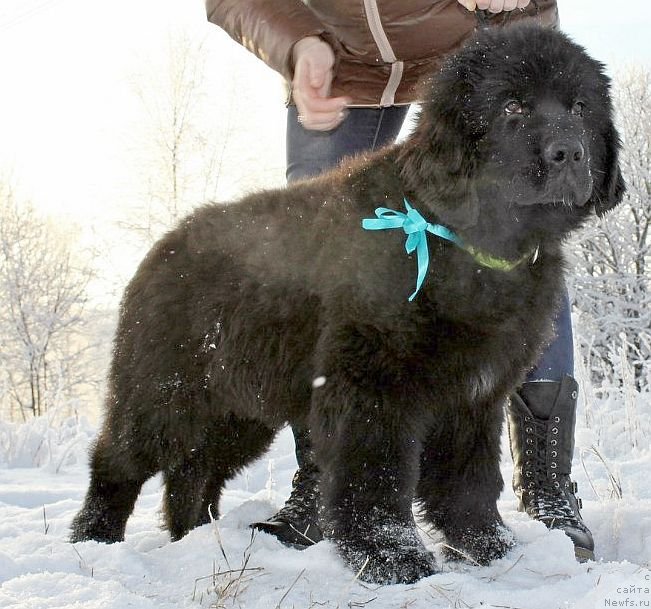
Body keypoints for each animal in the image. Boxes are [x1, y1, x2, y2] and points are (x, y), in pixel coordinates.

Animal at [71, 23, 628, 584]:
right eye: (512, 107)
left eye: (581, 107)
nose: (569, 154)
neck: (456, 236)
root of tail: (162, 247)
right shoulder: (373, 384)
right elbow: (376, 475)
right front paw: (394, 559)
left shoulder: (473, 395)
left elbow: (467, 478)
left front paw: (491, 549)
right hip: (167, 389)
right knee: (119, 460)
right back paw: (95, 539)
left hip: (239, 408)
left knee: (194, 470)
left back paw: (199, 539)